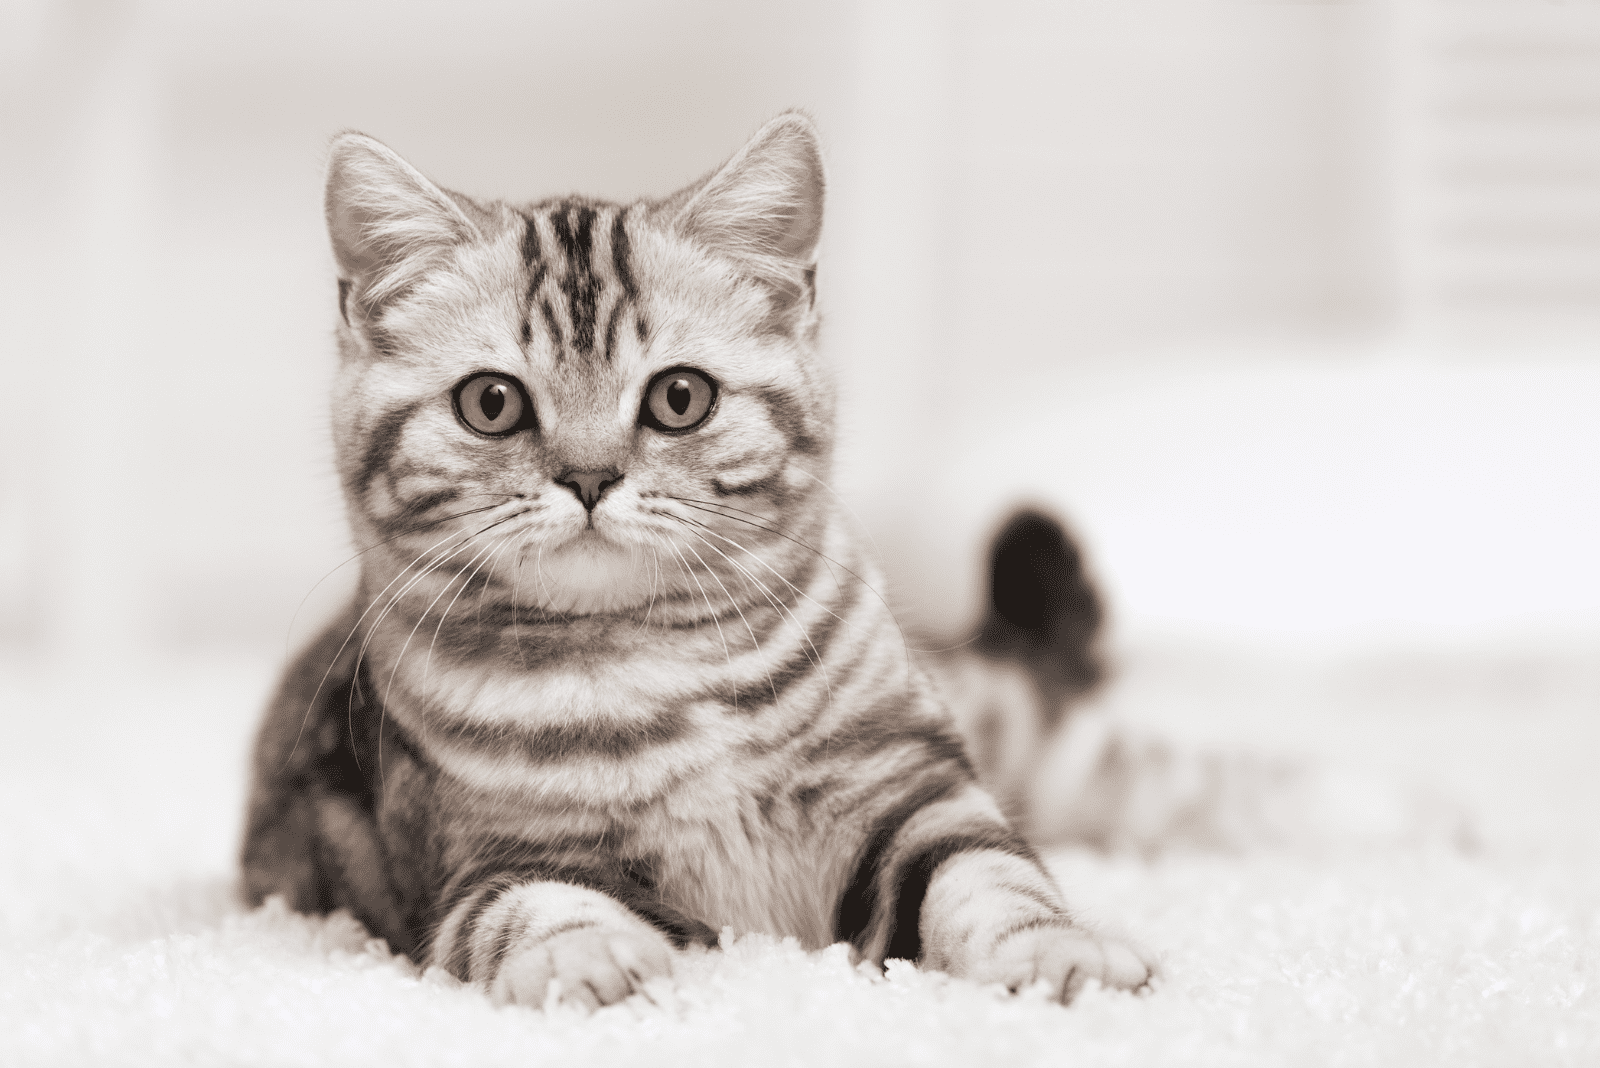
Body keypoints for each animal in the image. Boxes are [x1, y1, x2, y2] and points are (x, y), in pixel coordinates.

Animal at [240, 115, 1152, 1010]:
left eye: (680, 398)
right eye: (490, 403)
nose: (589, 477)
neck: (665, 666)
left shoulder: (916, 794)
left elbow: (993, 880)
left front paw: (1056, 954)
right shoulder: (487, 865)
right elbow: (538, 909)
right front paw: (592, 959)